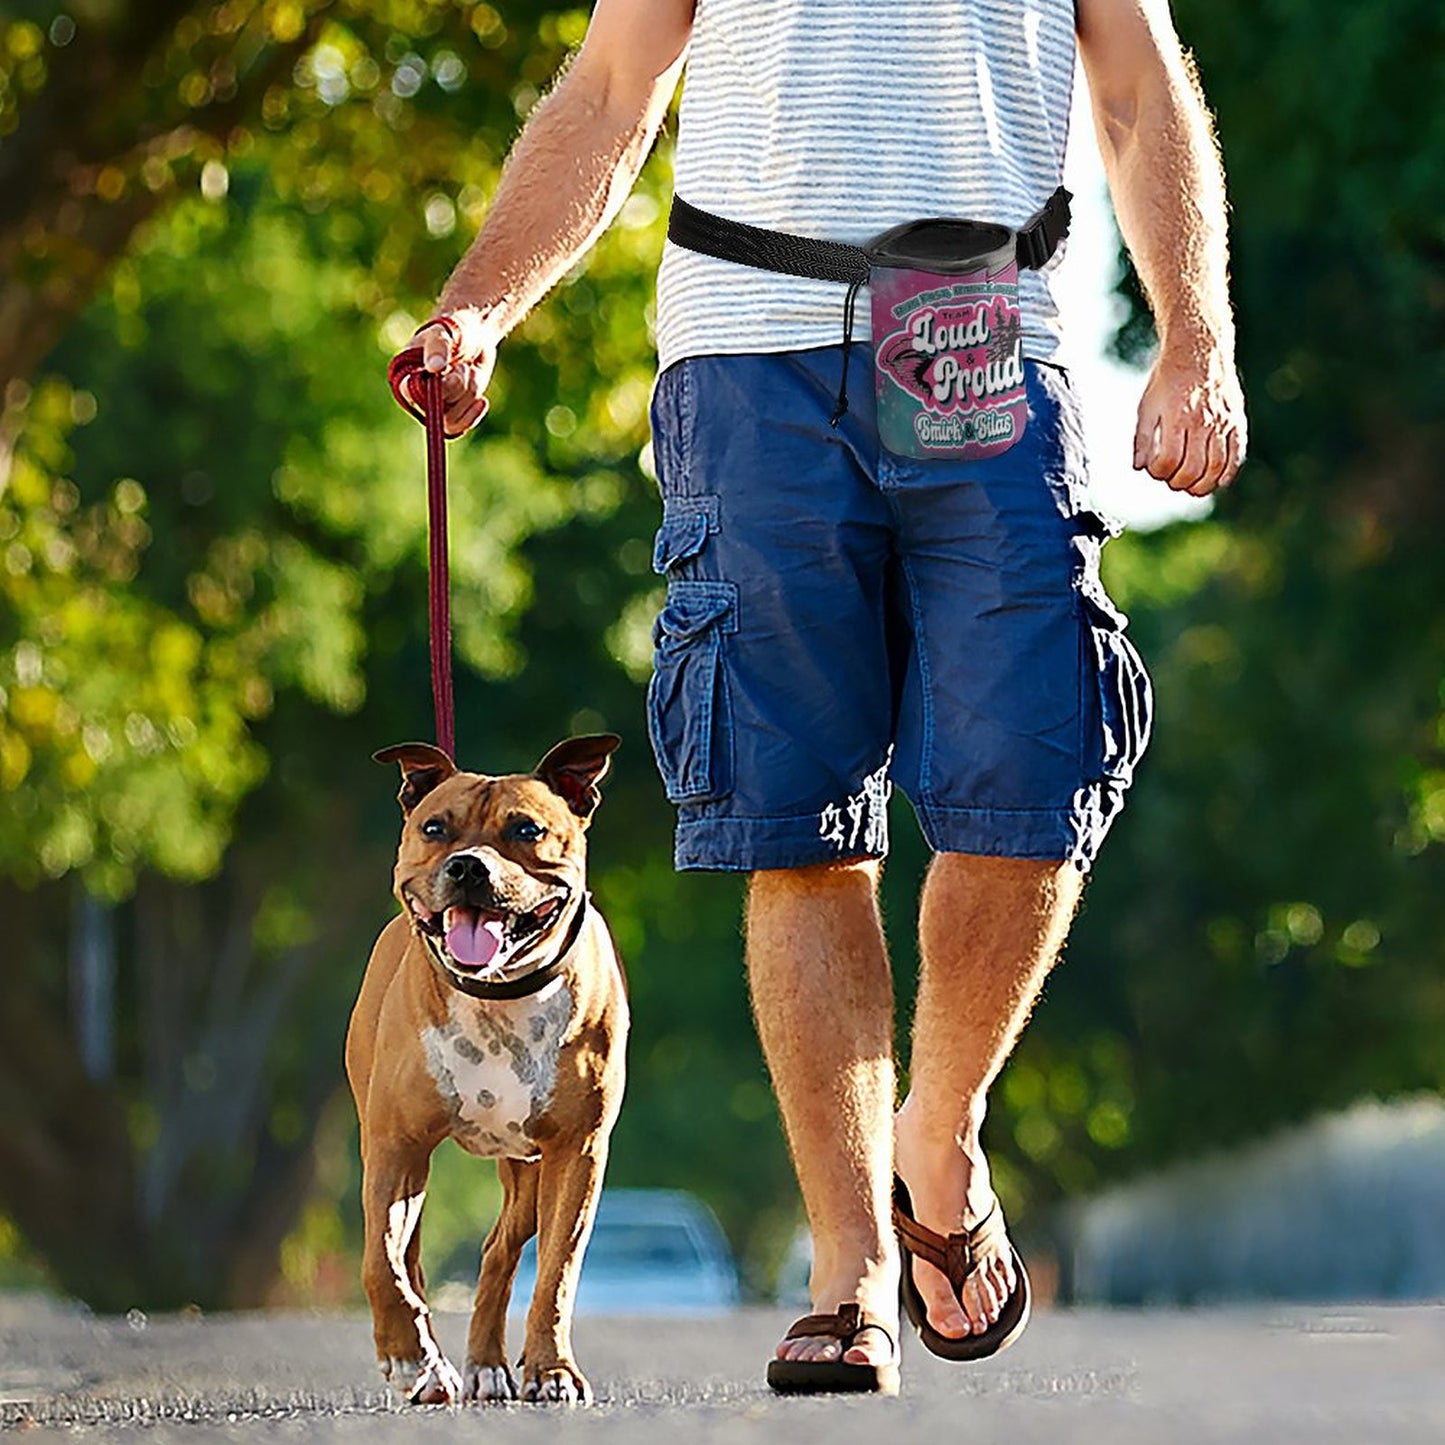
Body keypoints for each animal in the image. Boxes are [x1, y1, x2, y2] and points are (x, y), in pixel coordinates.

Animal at [348, 734, 627, 1398]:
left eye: (527, 829)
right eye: (435, 828)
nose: (468, 866)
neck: (496, 995)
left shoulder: (577, 1152)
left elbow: (557, 1273)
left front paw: (552, 1369)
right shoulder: (394, 1146)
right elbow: (380, 1260)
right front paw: (408, 1355)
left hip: (527, 1170)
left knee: (501, 1249)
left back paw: (486, 1364)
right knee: (410, 1258)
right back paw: (436, 1363)